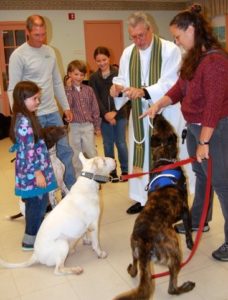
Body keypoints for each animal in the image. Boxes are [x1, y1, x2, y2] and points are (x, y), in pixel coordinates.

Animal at [113, 114, 195, 300]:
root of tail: (145, 243)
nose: (157, 114)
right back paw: (185, 287)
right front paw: (191, 243)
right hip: (173, 249)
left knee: (135, 271)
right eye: (161, 125)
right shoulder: (185, 210)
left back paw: (131, 268)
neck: (164, 160)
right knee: (172, 287)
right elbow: (188, 229)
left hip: (134, 249)